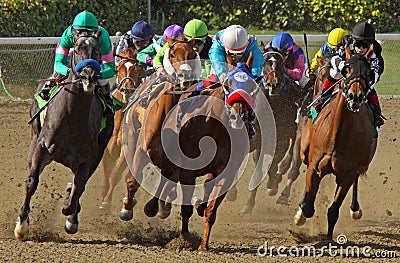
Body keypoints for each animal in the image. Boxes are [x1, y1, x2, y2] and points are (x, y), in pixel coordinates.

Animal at [14, 29, 113, 241]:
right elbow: (31, 183)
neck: (73, 115)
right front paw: (22, 225)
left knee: (80, 185)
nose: (89, 76)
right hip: (34, 138)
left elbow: (77, 190)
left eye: (97, 50)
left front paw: (70, 212)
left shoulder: (87, 159)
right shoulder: (42, 147)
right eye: (77, 48)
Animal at [99, 48, 148, 210]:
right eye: (119, 69)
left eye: (137, 69)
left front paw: (106, 201)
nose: (127, 89)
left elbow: (115, 175)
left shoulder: (126, 150)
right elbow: (106, 173)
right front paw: (103, 195)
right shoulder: (106, 149)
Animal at [241, 46, 300, 213]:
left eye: (280, 63)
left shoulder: (281, 139)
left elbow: (272, 164)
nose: (274, 85)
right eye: (265, 63)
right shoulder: (257, 141)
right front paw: (248, 204)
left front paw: (272, 184)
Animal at [294, 49, 376, 241]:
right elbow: (308, 207)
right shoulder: (314, 168)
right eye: (347, 69)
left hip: (362, 163)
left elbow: (333, 211)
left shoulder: (346, 174)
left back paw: (355, 209)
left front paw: (328, 239)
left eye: (368, 72)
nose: (355, 96)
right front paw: (300, 215)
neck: (336, 135)